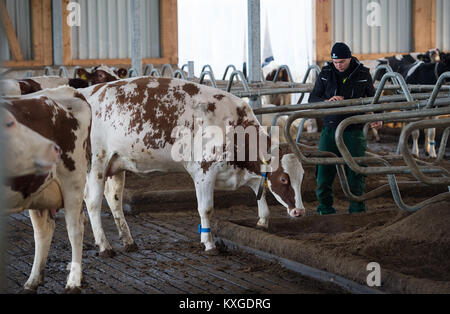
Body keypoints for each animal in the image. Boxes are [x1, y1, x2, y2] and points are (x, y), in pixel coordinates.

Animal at [0, 85, 92, 292]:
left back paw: (73, 282)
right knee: (43, 230)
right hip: (37, 193)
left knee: (75, 228)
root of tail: (69, 90)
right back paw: (33, 280)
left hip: (73, 182)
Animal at [80, 76, 306, 255]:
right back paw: (105, 246)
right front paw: (209, 244)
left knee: (114, 200)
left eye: (302, 176)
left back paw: (128, 242)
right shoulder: (204, 171)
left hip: (115, 164)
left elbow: (260, 190)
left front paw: (263, 220)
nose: (300, 212)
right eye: (284, 178)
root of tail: (85, 93)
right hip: (96, 162)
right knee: (92, 202)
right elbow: (206, 209)